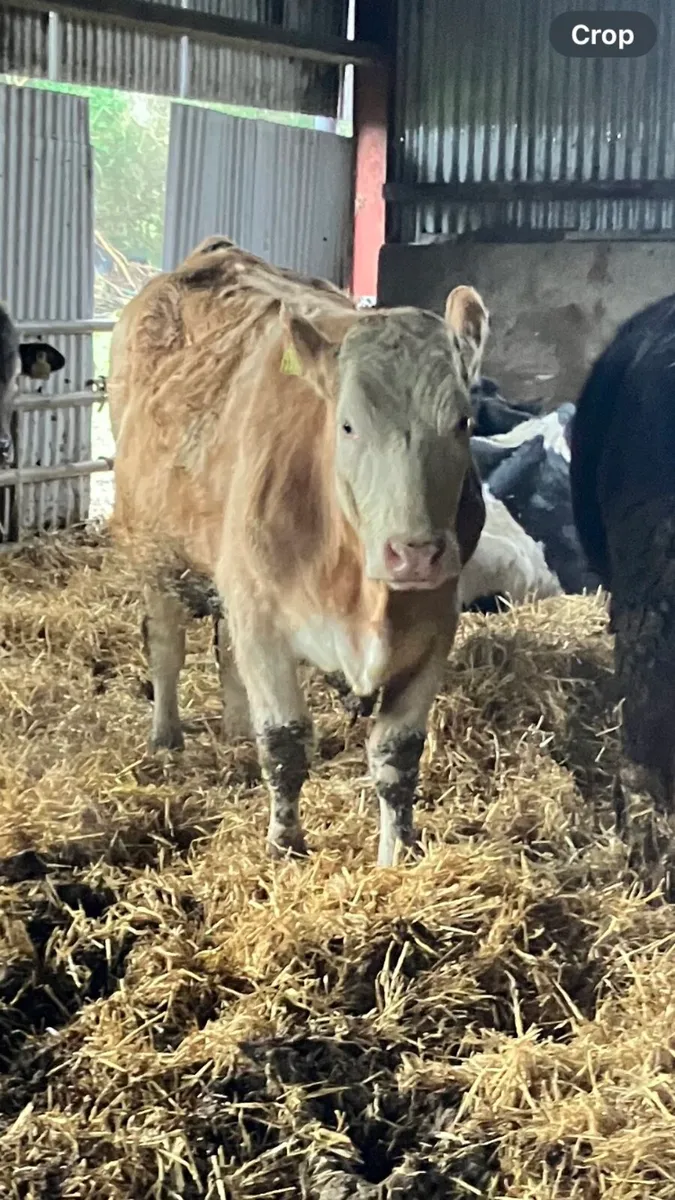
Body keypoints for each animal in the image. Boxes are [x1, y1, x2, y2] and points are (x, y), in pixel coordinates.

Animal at [108, 239, 489, 867]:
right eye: (348, 426)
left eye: (462, 421)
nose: (415, 554)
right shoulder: (263, 622)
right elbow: (284, 745)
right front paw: (285, 847)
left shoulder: (436, 627)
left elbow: (398, 757)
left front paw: (396, 856)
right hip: (155, 547)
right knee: (165, 643)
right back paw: (166, 739)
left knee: (224, 651)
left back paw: (235, 726)